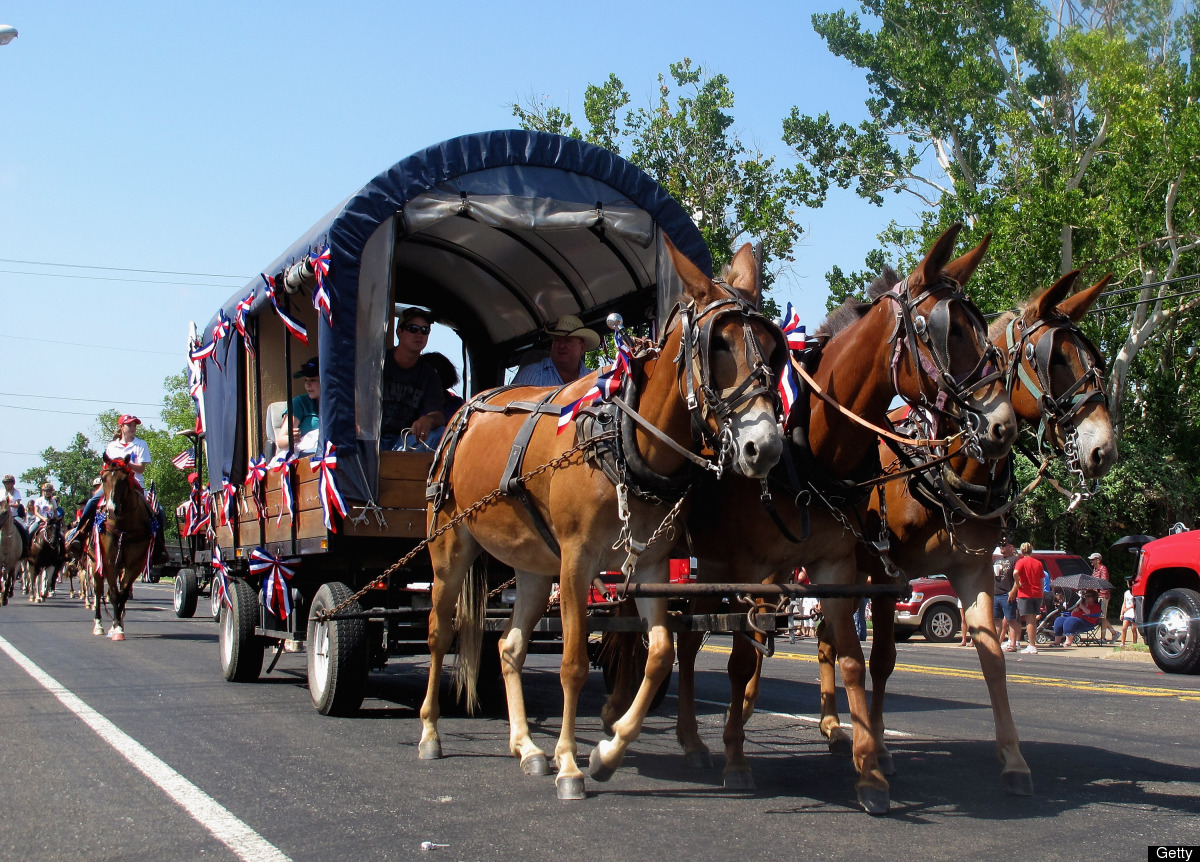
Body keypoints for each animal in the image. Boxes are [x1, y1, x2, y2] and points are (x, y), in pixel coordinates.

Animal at [93, 458, 154, 643]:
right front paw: (116, 627)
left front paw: (118, 626)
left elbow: (124, 593)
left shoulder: (135, 564)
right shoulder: (108, 561)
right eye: (103, 478)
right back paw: (98, 625)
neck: (124, 525)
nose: (112, 510)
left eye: (124, 479)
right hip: (94, 563)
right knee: (98, 591)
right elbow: (113, 594)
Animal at [420, 237, 787, 801]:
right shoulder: (577, 561)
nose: (763, 447)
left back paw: (526, 747)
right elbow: (572, 663)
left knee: (509, 647)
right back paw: (431, 734)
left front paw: (608, 751)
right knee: (440, 632)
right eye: (720, 346)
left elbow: (659, 655)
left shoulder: (653, 565)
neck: (622, 438)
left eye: (773, 349)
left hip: (533, 568)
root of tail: (469, 405)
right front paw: (572, 765)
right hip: (450, 548)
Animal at [662, 224, 1017, 816]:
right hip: (711, 565)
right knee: (690, 642)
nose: (1002, 425)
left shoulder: (839, 569)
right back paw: (694, 740)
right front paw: (736, 758)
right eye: (939, 331)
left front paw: (869, 770)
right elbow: (737, 659)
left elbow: (850, 656)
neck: (813, 449)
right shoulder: (752, 568)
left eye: (984, 333)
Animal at [816, 270, 1113, 797]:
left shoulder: (974, 568)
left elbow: (992, 656)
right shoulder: (890, 576)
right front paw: (881, 750)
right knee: (823, 639)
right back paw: (833, 727)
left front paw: (1013, 759)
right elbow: (883, 658)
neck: (947, 464)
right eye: (1054, 358)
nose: (1104, 448)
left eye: (1092, 359)